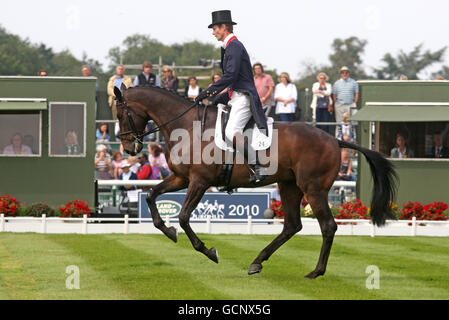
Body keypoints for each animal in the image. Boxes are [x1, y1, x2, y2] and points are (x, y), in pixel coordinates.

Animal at [113, 86, 396, 278]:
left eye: (120, 114)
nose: (128, 148)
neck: (188, 126)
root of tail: (334, 140)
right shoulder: (182, 177)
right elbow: (152, 196)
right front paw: (168, 231)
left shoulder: (199, 181)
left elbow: (183, 217)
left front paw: (209, 251)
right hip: (289, 186)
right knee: (292, 226)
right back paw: (257, 261)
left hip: (313, 189)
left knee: (327, 226)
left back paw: (316, 271)